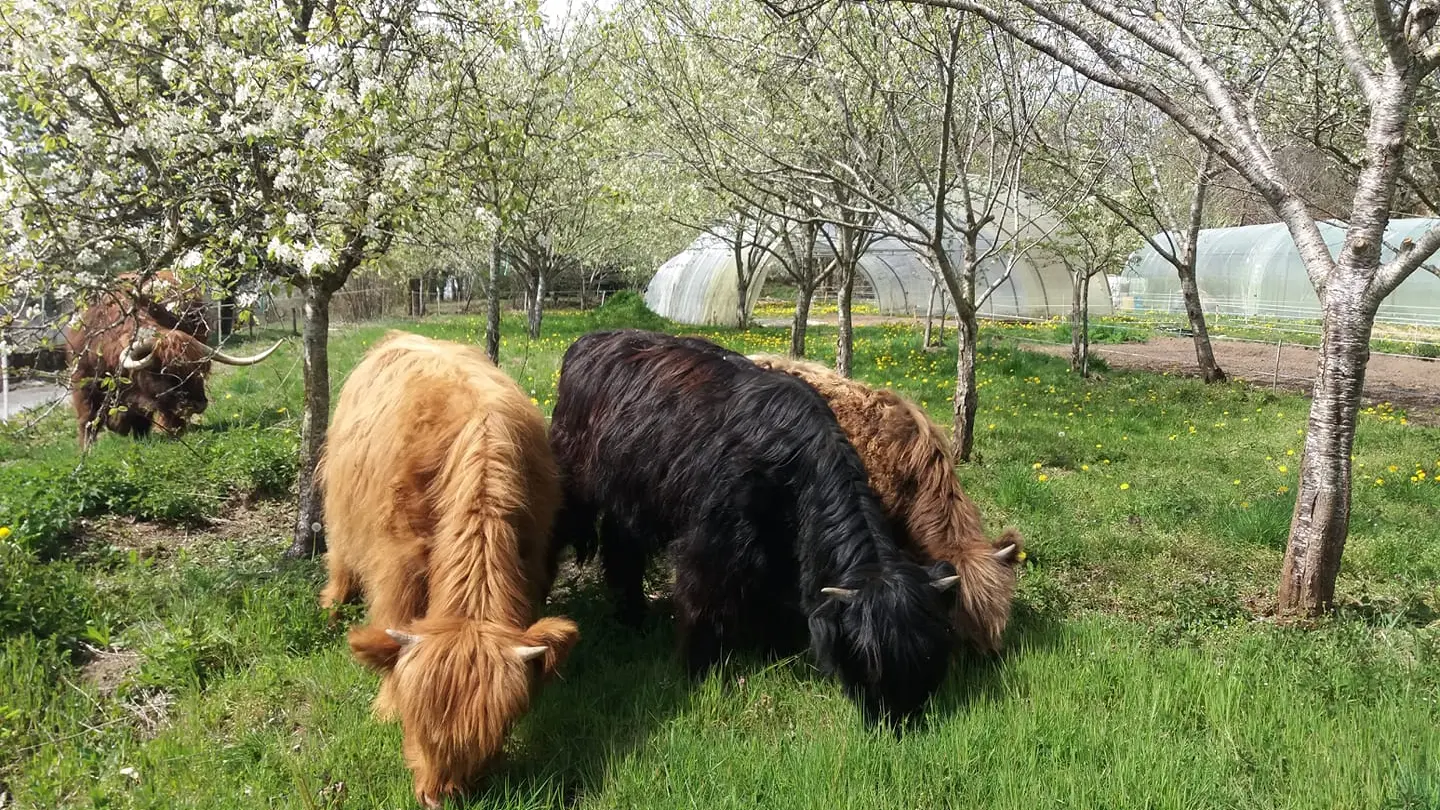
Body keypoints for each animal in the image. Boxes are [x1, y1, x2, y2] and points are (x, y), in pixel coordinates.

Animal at [61, 282, 280, 446]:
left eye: (198, 370)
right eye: (165, 372)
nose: (199, 404)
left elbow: (143, 424)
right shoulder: (82, 384)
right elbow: (87, 422)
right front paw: (87, 452)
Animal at [321, 331, 578, 801]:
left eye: (497, 734)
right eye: (412, 722)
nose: (436, 796)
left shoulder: (533, 555)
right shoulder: (397, 559)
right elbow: (393, 615)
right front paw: (385, 704)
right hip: (342, 498)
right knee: (340, 550)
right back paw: (332, 603)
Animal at [547, 331, 956, 720]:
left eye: (928, 654)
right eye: (869, 658)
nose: (898, 717)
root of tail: (589, 340)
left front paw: (773, 648)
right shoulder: (711, 543)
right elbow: (702, 603)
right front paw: (699, 670)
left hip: (631, 497)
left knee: (622, 549)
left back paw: (631, 617)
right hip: (574, 479)